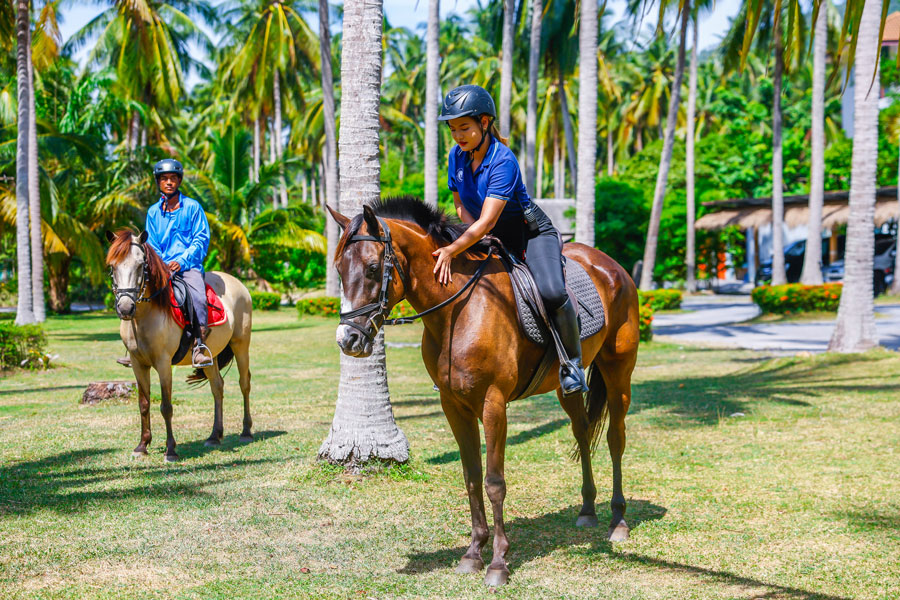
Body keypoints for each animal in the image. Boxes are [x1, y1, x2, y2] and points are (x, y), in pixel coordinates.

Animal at [105, 229, 254, 462]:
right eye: (113, 266)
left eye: (140, 265)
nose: (125, 308)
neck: (146, 315)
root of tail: (238, 283)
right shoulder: (138, 364)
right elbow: (144, 404)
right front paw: (142, 446)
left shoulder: (164, 363)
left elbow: (166, 406)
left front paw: (171, 450)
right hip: (211, 355)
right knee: (217, 387)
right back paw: (214, 435)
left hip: (241, 344)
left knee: (244, 383)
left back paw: (246, 431)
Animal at [328, 198, 640, 587]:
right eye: (339, 269)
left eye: (372, 268)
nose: (348, 340)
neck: (456, 311)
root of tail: (613, 266)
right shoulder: (453, 406)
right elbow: (472, 477)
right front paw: (473, 553)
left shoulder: (494, 405)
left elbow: (494, 482)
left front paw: (498, 563)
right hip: (565, 387)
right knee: (582, 433)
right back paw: (586, 509)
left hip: (618, 371)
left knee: (615, 438)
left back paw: (618, 519)